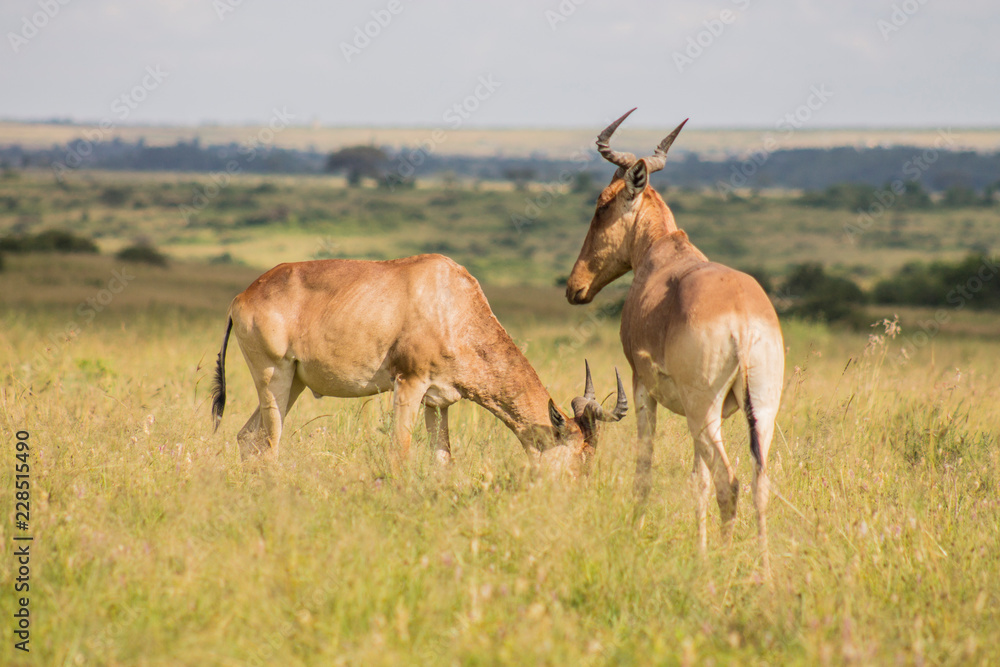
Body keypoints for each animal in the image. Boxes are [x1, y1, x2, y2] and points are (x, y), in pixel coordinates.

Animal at [210, 254, 627, 474]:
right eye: (581, 456)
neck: (451, 299)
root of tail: (242, 296)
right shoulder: (409, 383)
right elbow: (400, 451)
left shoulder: (438, 401)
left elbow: (442, 458)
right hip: (273, 376)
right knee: (270, 443)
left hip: (293, 383)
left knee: (247, 437)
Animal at [565, 109, 784, 575]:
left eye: (601, 204)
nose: (575, 288)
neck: (664, 252)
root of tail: (743, 320)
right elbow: (696, 480)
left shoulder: (641, 387)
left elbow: (645, 467)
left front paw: (635, 535)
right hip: (760, 409)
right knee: (757, 481)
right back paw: (763, 572)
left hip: (705, 409)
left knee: (729, 481)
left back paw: (720, 567)